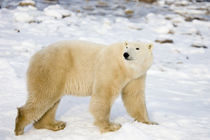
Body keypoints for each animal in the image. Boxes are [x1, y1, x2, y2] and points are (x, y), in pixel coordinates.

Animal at [14, 40, 156, 136]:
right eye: (126, 47)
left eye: (137, 48)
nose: (126, 54)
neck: (126, 68)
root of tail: (35, 56)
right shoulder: (110, 69)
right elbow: (103, 96)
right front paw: (111, 126)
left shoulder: (136, 77)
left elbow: (134, 97)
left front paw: (149, 123)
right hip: (51, 70)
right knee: (43, 97)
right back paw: (19, 129)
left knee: (52, 101)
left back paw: (55, 124)